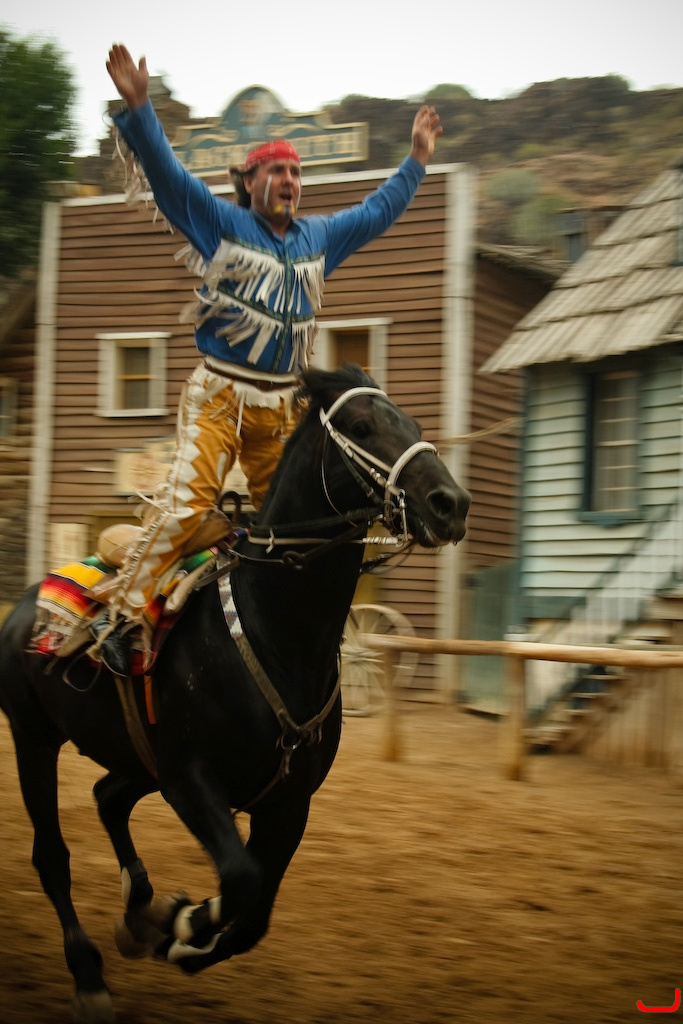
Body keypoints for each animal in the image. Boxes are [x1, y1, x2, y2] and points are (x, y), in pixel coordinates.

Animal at [0, 363, 470, 1024]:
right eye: (360, 426)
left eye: (416, 425)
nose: (450, 503)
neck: (276, 635)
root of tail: (25, 607)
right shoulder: (193, 782)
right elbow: (243, 882)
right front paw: (187, 922)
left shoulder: (287, 802)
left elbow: (256, 912)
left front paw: (180, 928)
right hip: (35, 740)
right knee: (52, 857)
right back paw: (90, 973)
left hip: (138, 761)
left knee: (107, 798)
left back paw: (140, 915)